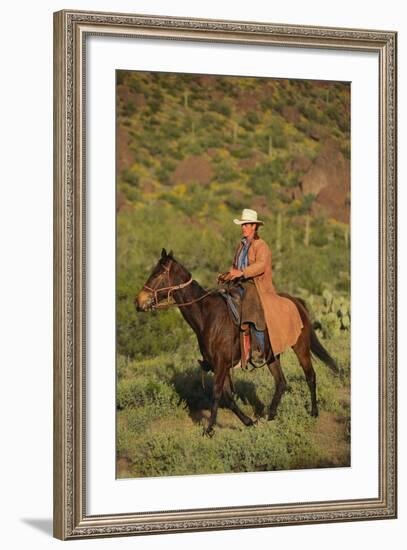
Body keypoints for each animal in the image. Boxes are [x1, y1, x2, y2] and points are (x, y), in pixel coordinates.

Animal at [135, 249, 340, 436]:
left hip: (301, 348)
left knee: (310, 376)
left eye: (157, 274)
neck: (207, 316)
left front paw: (209, 429)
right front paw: (249, 422)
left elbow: (217, 394)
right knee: (281, 382)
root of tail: (297, 302)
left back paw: (313, 412)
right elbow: (227, 397)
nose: (138, 302)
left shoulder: (221, 363)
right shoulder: (220, 365)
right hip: (272, 356)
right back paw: (271, 415)